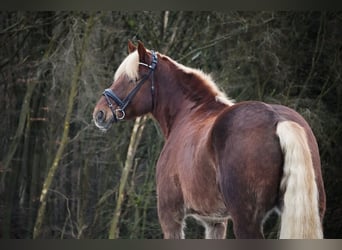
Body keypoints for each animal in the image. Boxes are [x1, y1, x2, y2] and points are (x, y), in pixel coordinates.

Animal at [93, 42, 326, 239]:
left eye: (132, 79)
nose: (100, 113)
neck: (188, 113)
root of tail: (278, 119)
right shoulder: (216, 221)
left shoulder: (170, 215)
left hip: (246, 221)